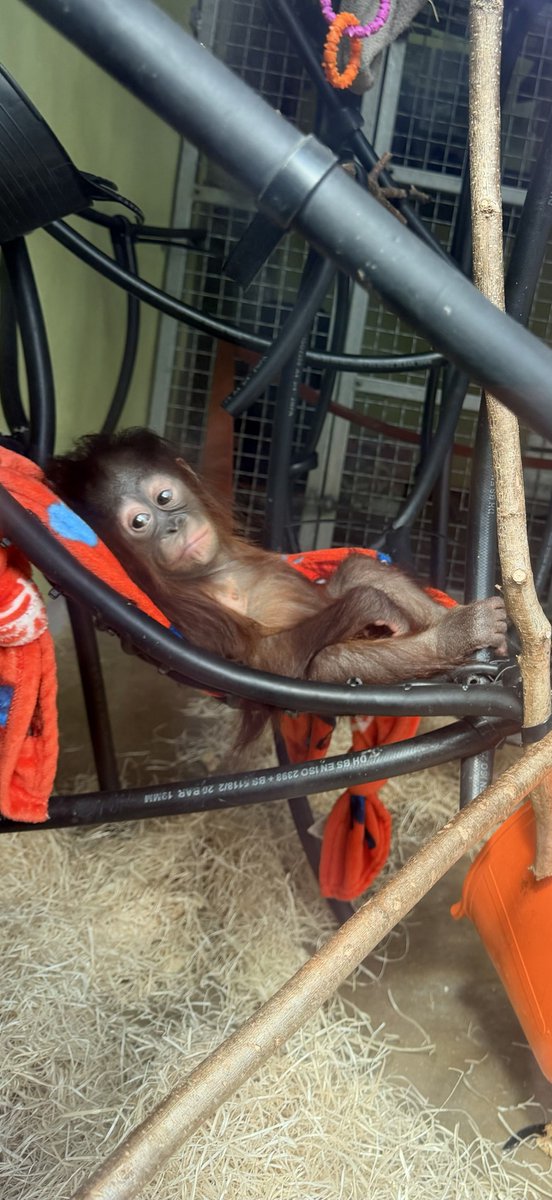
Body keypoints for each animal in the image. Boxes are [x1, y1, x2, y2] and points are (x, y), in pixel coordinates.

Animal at [47, 429, 508, 738]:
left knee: (361, 570)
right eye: (139, 523)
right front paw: (374, 607)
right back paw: (460, 634)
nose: (172, 528)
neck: (214, 568)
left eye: (163, 498)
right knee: (331, 660)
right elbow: (268, 660)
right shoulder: (189, 616)